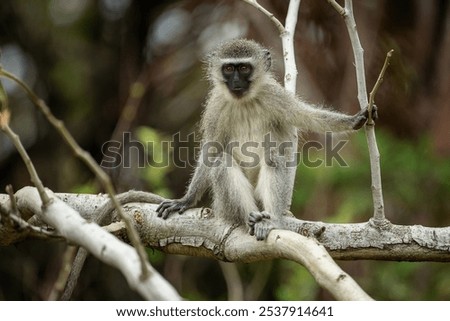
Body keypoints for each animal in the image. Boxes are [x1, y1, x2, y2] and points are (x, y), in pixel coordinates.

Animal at [156, 38, 374, 240]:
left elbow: (308, 117)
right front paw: (186, 199)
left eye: (244, 68)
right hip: (224, 206)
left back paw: (270, 220)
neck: (243, 102)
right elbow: (212, 150)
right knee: (221, 162)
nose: (236, 82)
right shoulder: (215, 108)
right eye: (229, 68)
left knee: (273, 157)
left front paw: (353, 120)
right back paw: (249, 219)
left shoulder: (275, 95)